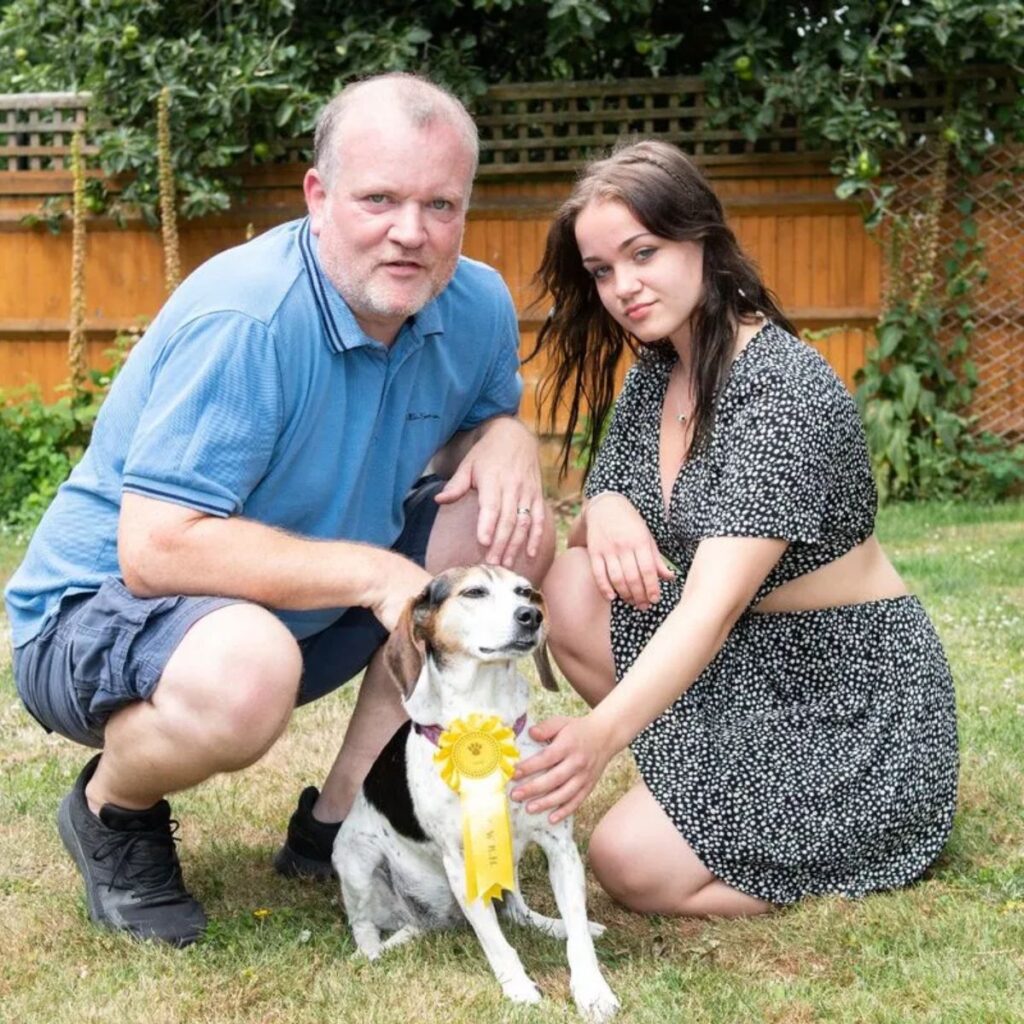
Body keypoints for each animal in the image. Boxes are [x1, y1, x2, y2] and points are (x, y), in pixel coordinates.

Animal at [333, 565, 614, 1019]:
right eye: (475, 593)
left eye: (524, 591)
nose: (531, 616)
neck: (484, 715)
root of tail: (430, 921)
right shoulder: (461, 860)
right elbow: (497, 945)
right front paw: (519, 989)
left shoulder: (560, 846)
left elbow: (578, 941)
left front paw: (592, 991)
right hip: (356, 858)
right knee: (363, 927)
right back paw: (371, 954)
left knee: (519, 911)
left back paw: (551, 924)